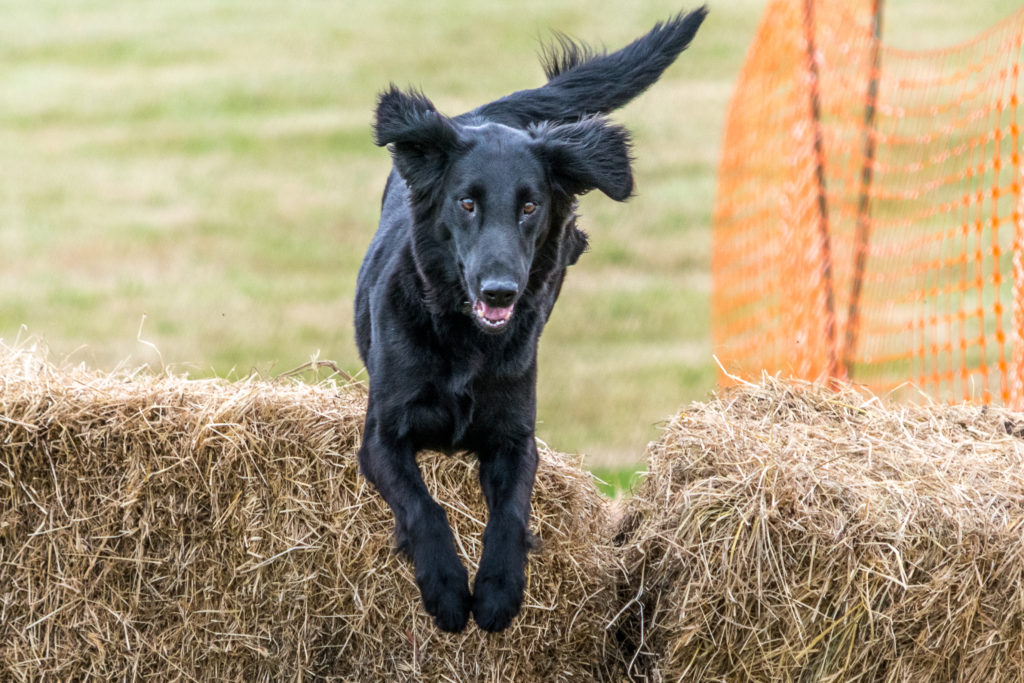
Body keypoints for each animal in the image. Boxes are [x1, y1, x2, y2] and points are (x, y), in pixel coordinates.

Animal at [356, 7, 708, 634]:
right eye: (467, 203)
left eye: (529, 205)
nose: (500, 289)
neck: (466, 341)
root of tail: (490, 114)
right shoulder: (383, 435)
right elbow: (424, 505)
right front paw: (447, 588)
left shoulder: (515, 437)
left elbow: (513, 511)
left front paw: (498, 590)